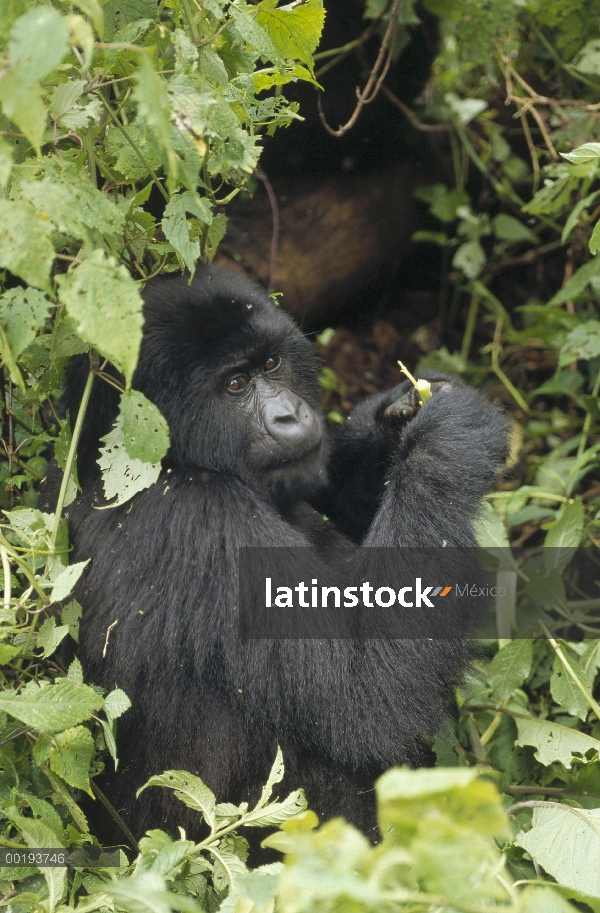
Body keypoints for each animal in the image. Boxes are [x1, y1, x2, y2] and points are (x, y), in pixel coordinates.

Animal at [42, 268, 506, 844]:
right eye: (235, 386)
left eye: (270, 364)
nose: (289, 415)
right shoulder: (203, 523)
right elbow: (366, 697)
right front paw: (446, 440)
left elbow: (330, 489)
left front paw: (400, 415)